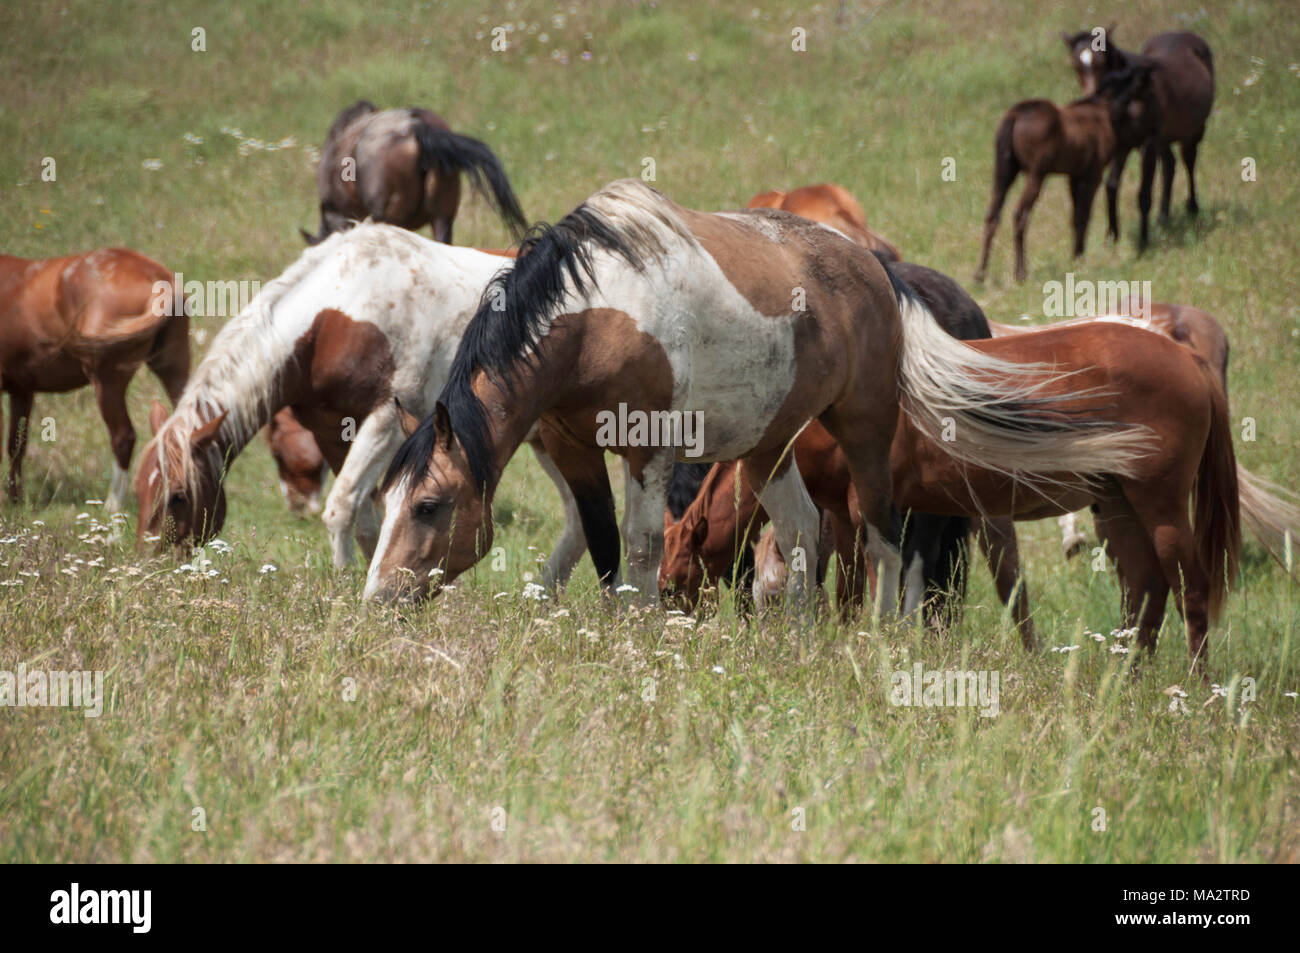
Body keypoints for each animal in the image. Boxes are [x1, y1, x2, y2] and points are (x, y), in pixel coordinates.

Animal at [0, 248, 189, 509]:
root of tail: (160, 276)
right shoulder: (22, 390)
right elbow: (16, 445)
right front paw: (15, 502)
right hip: (173, 369)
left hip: (107, 381)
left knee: (123, 436)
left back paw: (112, 507)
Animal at [134, 224, 586, 582]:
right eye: (139, 489)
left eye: (178, 496)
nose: (148, 567)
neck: (340, 314)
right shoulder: (332, 431)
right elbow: (366, 516)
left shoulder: (387, 420)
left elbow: (340, 506)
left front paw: (344, 577)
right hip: (547, 441)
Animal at [974, 64, 1158, 283]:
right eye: (1148, 95)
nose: (1153, 134)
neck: (1102, 112)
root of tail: (1015, 115)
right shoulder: (1092, 175)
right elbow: (1084, 216)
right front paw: (1079, 258)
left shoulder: (1074, 176)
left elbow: (1075, 217)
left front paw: (1075, 256)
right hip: (1036, 174)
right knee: (1020, 215)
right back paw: (1020, 272)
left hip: (1005, 172)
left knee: (992, 216)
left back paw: (980, 274)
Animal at [1063, 27, 1214, 249]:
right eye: (1076, 66)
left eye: (1101, 62)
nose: (1092, 98)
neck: (1132, 95)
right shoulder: (1121, 145)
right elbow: (1111, 186)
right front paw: (1112, 236)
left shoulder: (1147, 145)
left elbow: (1143, 194)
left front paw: (1143, 242)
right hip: (1163, 139)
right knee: (1170, 164)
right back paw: (1162, 218)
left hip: (1193, 131)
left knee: (1189, 160)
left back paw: (1193, 208)